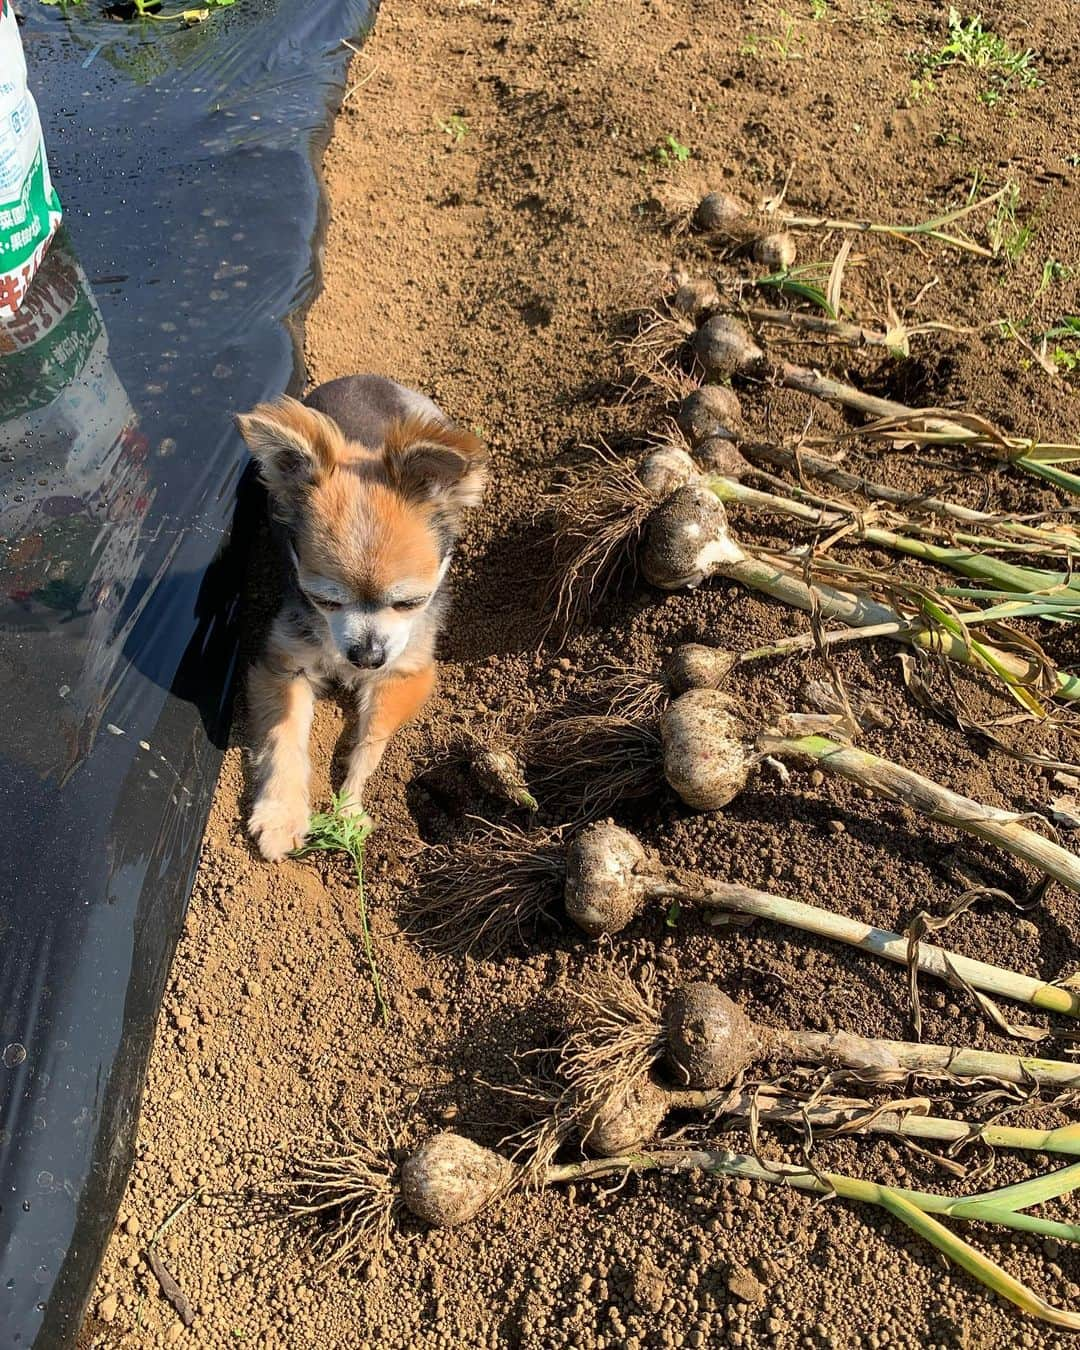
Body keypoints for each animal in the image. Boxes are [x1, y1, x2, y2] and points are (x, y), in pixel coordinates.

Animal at [240, 375, 488, 858]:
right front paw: (281, 815)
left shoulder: (405, 672)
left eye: (411, 603)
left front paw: (349, 808)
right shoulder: (283, 666)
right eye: (323, 601)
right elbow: (283, 738)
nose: (367, 657)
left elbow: (370, 741)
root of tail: (363, 378)